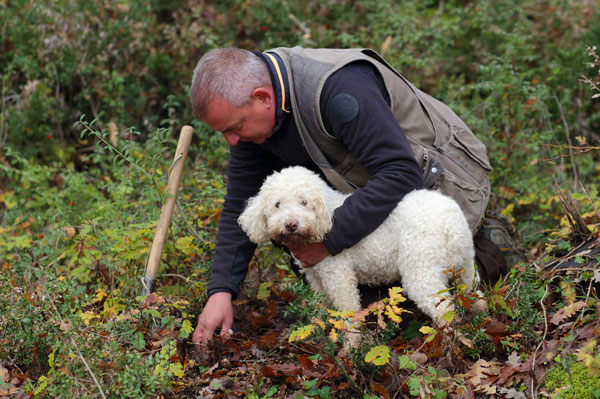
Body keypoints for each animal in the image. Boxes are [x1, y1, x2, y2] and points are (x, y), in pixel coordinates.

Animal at [239, 167, 478, 330]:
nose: (291, 224)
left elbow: (348, 314)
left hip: (421, 268)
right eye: (277, 204)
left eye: (304, 202)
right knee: (475, 296)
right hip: (465, 268)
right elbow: (322, 308)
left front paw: (349, 349)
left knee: (444, 310)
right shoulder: (316, 278)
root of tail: (452, 221)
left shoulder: (338, 276)